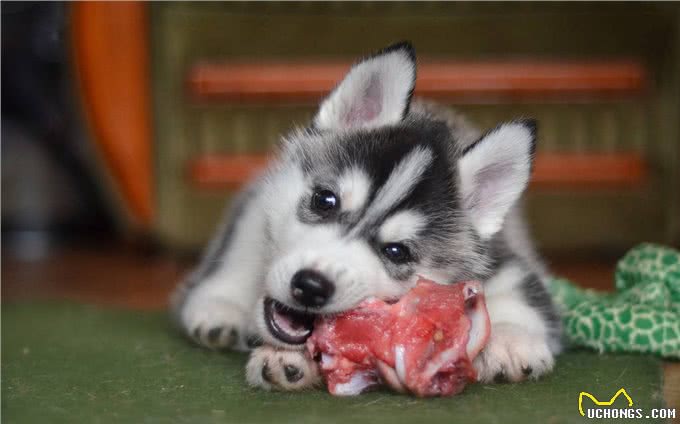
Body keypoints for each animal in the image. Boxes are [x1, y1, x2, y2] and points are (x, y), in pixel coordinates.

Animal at [172, 42, 562, 392]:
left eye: (396, 251)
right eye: (324, 200)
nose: (310, 285)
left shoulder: (501, 255)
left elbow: (519, 290)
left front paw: (510, 341)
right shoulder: (257, 211)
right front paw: (277, 351)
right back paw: (220, 305)